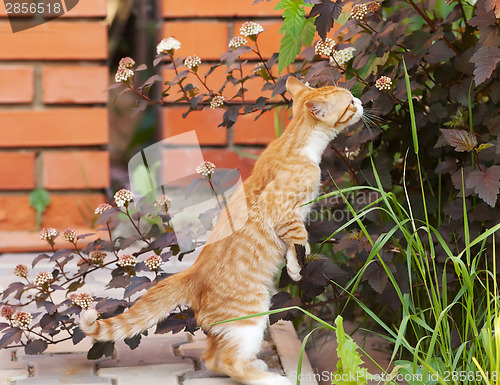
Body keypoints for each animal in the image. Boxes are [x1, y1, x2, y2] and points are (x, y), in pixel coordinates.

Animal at [81, 76, 364, 382]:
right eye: (349, 102)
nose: (360, 102)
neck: (298, 143)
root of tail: (192, 273)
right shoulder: (281, 210)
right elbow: (299, 238)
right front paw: (299, 265)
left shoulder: (290, 219)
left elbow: (294, 246)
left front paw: (293, 269)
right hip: (251, 315)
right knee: (228, 362)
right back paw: (271, 378)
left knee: (213, 358)